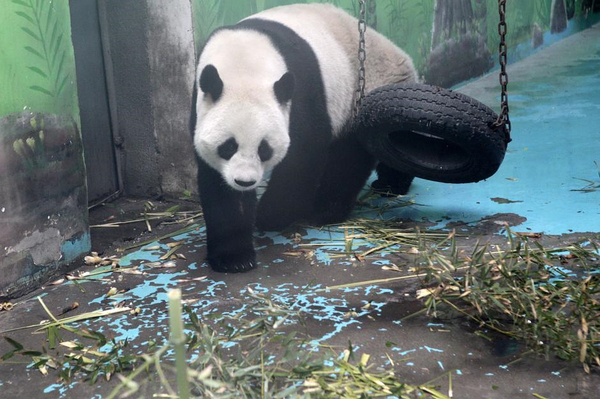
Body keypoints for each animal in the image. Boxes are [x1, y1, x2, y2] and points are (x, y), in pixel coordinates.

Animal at [192, 3, 418, 274]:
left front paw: (270, 215)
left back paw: (335, 206)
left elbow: (302, 156)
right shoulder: (201, 105)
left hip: (365, 91)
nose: (245, 182)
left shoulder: (301, 91)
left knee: (354, 156)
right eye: (228, 147)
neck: (244, 60)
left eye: (264, 149)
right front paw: (234, 258)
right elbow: (217, 183)